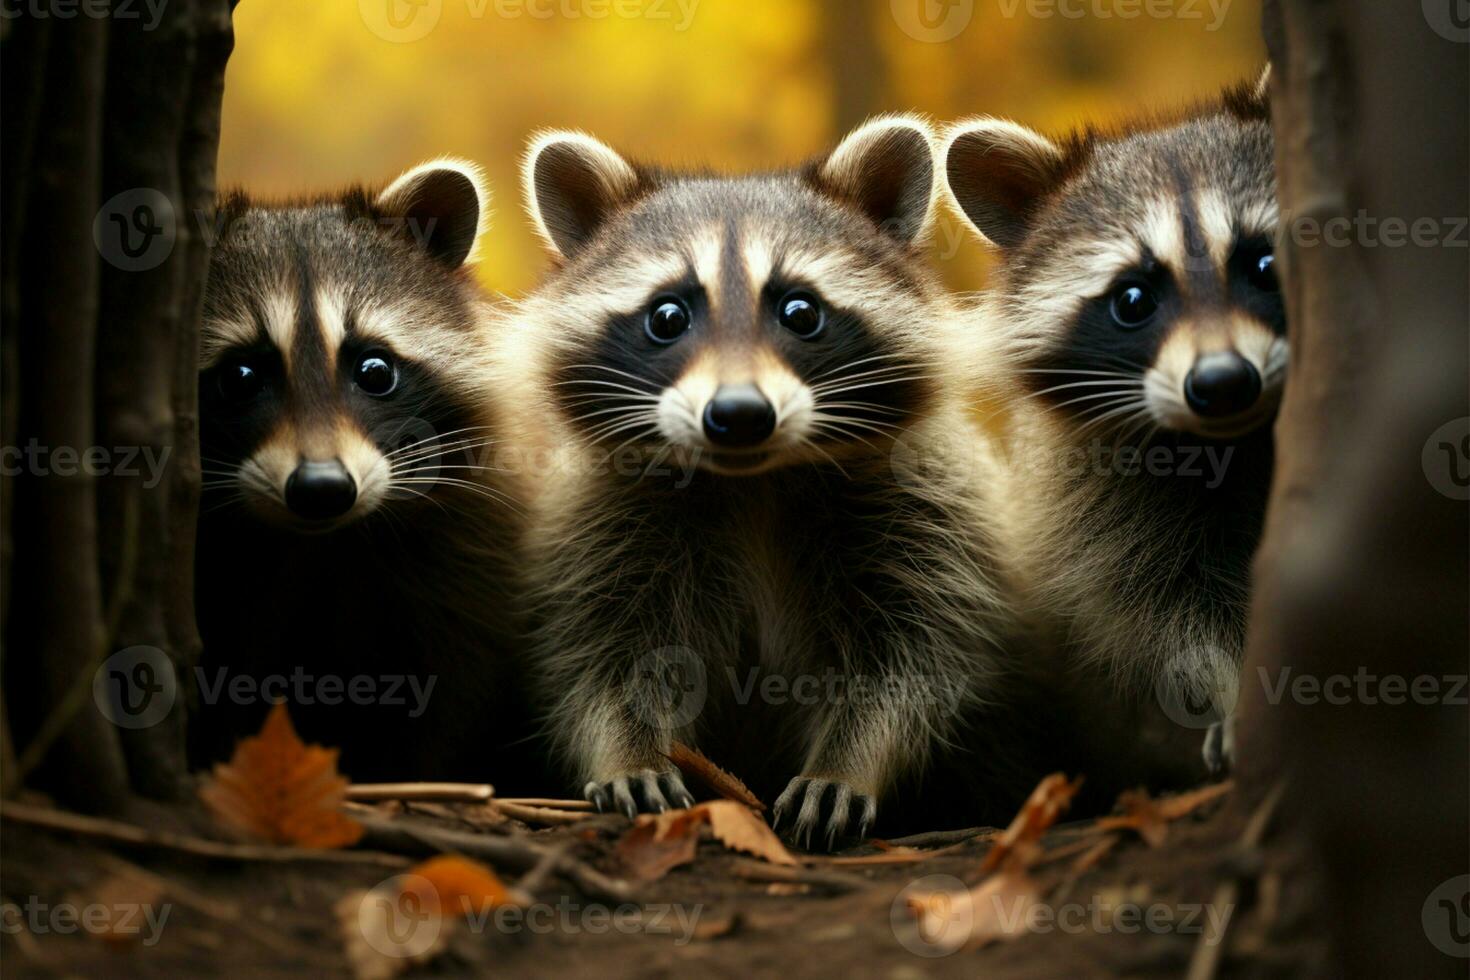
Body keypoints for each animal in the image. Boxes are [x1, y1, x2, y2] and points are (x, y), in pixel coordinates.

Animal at [189, 159, 535, 787]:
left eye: (375, 370)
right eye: (240, 377)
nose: (321, 489)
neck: (323, 542)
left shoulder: (468, 560)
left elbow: (452, 690)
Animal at [499, 116, 1017, 852]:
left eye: (800, 311)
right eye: (667, 317)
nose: (739, 414)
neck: (754, 484)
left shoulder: (926, 514)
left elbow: (910, 662)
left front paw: (848, 763)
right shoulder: (601, 525)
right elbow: (602, 655)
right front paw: (629, 751)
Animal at [946, 72, 1281, 781]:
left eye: (1265, 265)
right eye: (1132, 300)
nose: (1223, 383)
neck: (1226, 444)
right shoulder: (1105, 513)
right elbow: (1182, 617)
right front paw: (1238, 690)